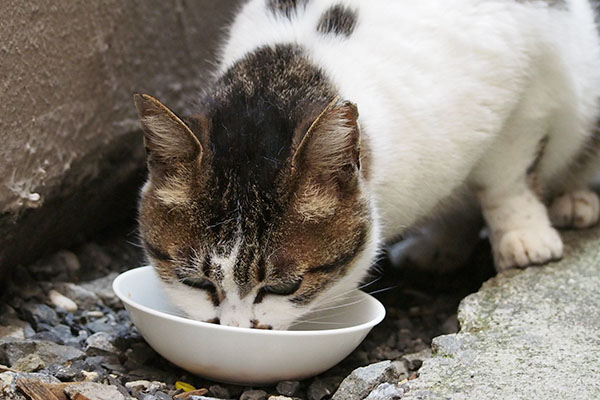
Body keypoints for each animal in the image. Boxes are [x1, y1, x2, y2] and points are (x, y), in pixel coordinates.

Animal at [134, 0, 600, 330]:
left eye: (285, 286)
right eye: (196, 282)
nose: (234, 329)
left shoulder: (528, 89)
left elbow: (505, 177)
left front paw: (524, 238)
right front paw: (447, 238)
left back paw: (574, 201)